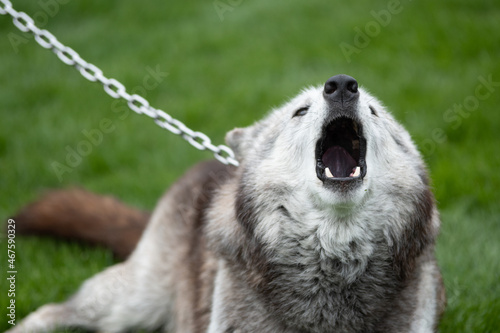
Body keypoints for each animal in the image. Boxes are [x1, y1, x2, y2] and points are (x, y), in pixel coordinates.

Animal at [8, 75, 446, 332]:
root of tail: (213, 162)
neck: (333, 261)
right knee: (52, 311)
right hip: (131, 304)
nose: (341, 84)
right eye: (300, 110)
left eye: (374, 112)